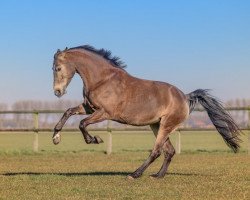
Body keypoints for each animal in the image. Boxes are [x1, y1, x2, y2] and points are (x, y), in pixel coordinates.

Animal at [51, 45, 241, 180]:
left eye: (58, 68)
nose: (57, 92)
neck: (103, 80)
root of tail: (185, 97)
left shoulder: (104, 113)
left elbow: (82, 124)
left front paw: (95, 140)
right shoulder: (89, 108)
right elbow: (68, 112)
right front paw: (56, 138)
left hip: (165, 126)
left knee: (156, 151)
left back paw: (135, 174)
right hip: (157, 125)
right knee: (169, 151)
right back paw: (158, 176)